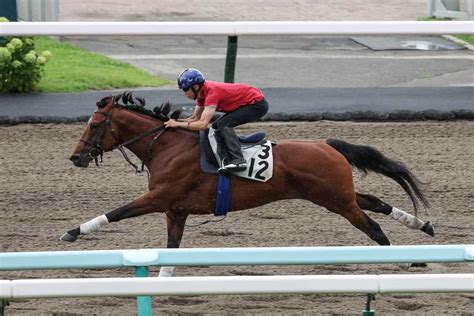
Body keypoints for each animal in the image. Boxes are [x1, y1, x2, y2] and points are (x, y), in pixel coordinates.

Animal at [62, 90, 434, 272]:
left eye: (95, 124)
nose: (76, 157)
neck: (166, 146)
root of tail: (326, 144)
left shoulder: (158, 198)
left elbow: (117, 212)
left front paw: (72, 232)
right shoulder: (175, 210)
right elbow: (171, 250)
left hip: (336, 200)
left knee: (373, 226)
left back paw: (406, 257)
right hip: (336, 195)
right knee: (376, 202)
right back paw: (423, 229)